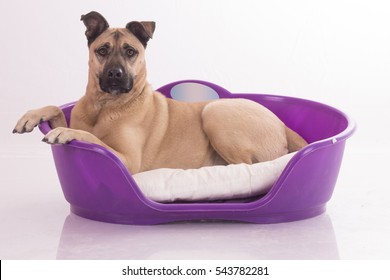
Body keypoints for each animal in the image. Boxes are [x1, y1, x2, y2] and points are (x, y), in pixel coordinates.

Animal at [12, 12, 308, 174]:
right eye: (102, 50)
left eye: (131, 51)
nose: (115, 75)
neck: (106, 105)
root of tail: (281, 124)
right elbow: (56, 109)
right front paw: (31, 116)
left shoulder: (127, 160)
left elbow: (88, 136)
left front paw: (64, 132)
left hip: (216, 112)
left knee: (245, 167)